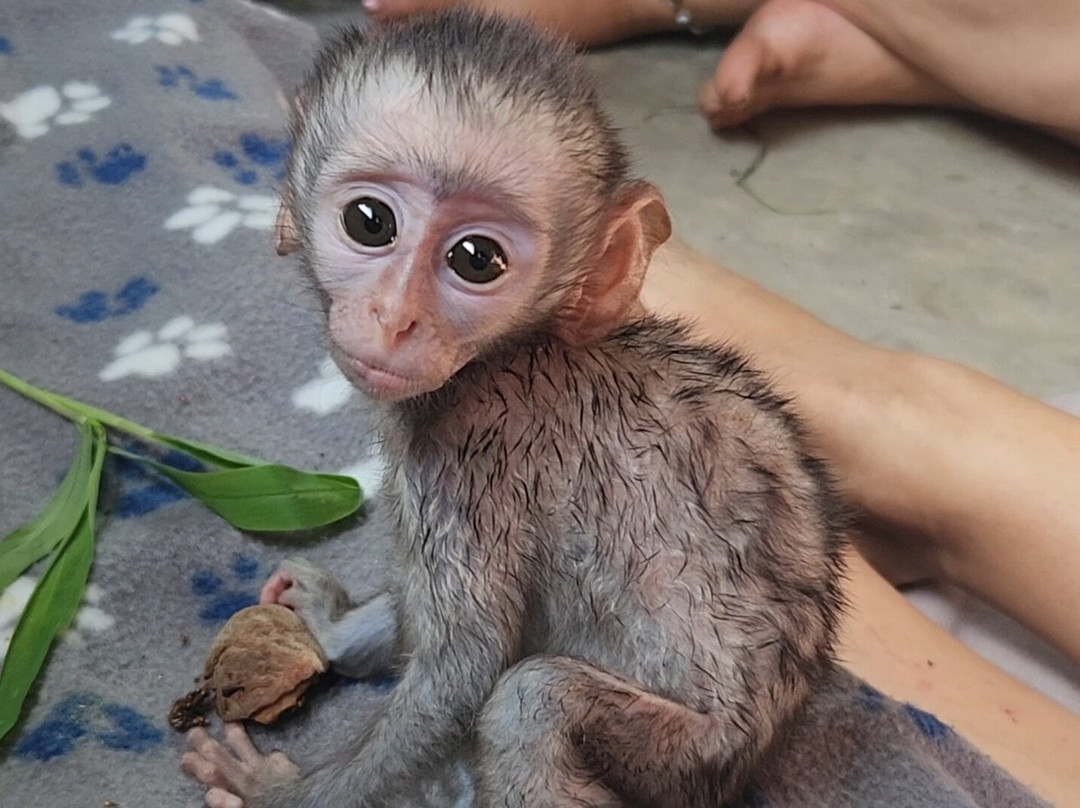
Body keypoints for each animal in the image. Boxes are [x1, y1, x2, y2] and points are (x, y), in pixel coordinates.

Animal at [181, 10, 847, 808]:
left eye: (477, 259)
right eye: (370, 222)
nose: (394, 318)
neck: (505, 355)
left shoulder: (469, 468)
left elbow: (463, 672)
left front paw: (277, 792)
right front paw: (333, 627)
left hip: (690, 754)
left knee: (532, 701)